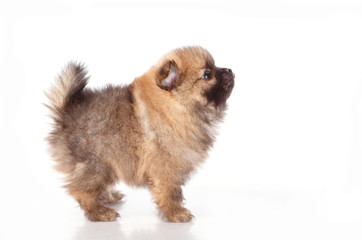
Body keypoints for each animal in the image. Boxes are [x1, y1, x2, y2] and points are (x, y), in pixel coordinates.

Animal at [46, 46, 235, 222]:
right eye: (207, 75)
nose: (229, 70)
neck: (176, 107)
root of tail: (66, 112)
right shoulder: (166, 168)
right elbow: (170, 192)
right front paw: (175, 212)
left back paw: (108, 197)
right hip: (96, 163)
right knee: (81, 189)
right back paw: (99, 212)